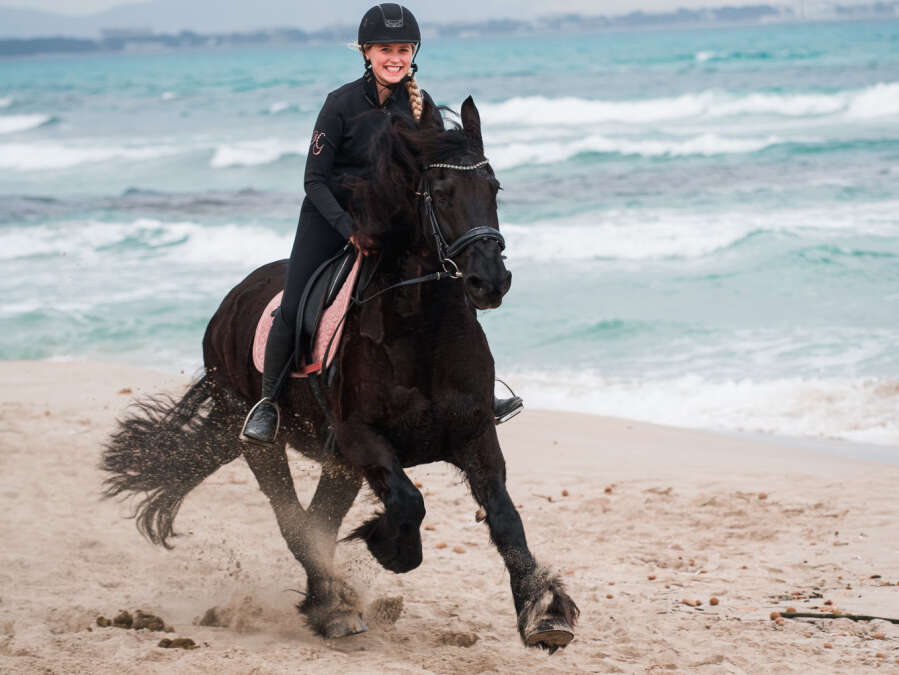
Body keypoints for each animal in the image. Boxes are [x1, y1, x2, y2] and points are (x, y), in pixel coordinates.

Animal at [101, 96, 579, 652]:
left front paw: (545, 614)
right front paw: (390, 548)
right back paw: (334, 608)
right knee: (296, 523)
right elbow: (408, 502)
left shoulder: (473, 435)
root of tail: (228, 307)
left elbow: (505, 519)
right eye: (441, 194)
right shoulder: (360, 439)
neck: (422, 332)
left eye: (494, 188)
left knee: (317, 523)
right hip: (262, 440)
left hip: (337, 466)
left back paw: (328, 603)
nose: (490, 281)